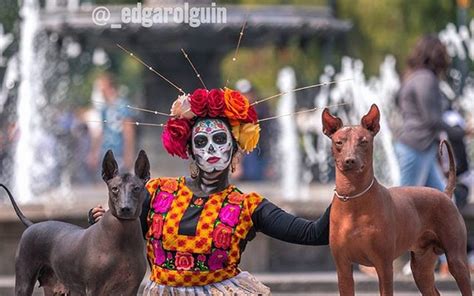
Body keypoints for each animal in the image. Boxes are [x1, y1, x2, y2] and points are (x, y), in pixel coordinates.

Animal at [0, 150, 149, 296]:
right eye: (114, 188)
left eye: (136, 188)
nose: (125, 208)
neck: (122, 236)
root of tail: (32, 225)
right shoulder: (94, 288)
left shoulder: (131, 289)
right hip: (24, 282)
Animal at [322, 104, 470, 296]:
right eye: (339, 142)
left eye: (363, 141)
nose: (350, 160)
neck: (353, 198)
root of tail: (444, 194)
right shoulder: (343, 268)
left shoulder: (384, 266)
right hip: (421, 266)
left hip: (456, 260)